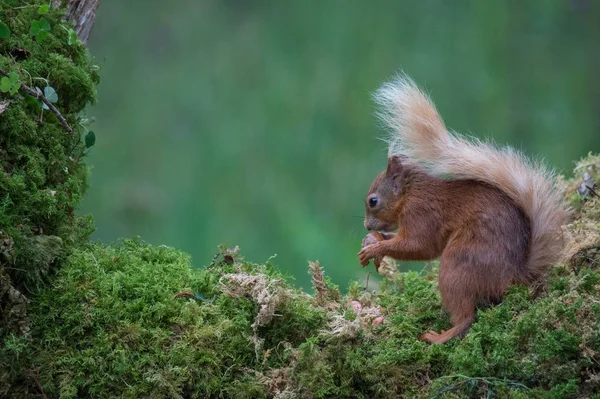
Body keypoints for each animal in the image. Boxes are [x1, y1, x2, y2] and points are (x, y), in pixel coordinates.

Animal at [356, 75, 568, 344]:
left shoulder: (422, 213)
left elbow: (419, 246)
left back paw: (439, 337)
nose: (366, 226)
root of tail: (514, 277)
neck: (411, 194)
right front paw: (373, 240)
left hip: (457, 267)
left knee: (467, 316)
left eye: (373, 201)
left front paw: (377, 248)